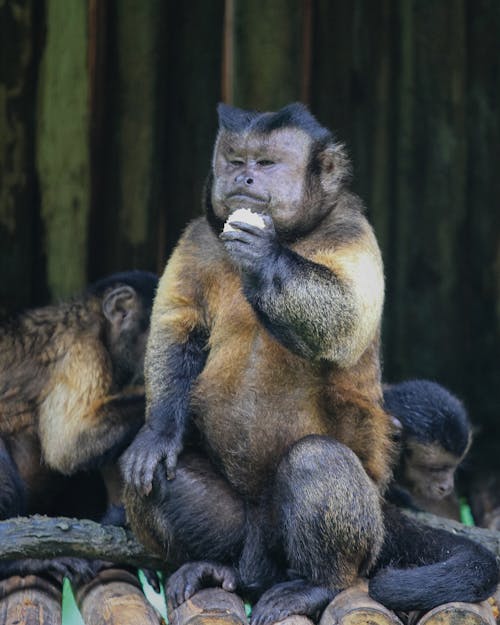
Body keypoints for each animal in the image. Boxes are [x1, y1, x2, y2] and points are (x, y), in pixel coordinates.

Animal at [120, 101, 496, 620]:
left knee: (315, 461)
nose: (245, 179)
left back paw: (319, 583)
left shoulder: (352, 229)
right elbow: (178, 327)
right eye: (236, 160)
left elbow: (344, 320)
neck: (295, 234)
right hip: (240, 529)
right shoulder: (199, 236)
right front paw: (159, 432)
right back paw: (213, 566)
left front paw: (263, 254)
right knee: (157, 480)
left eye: (267, 164)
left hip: (353, 528)